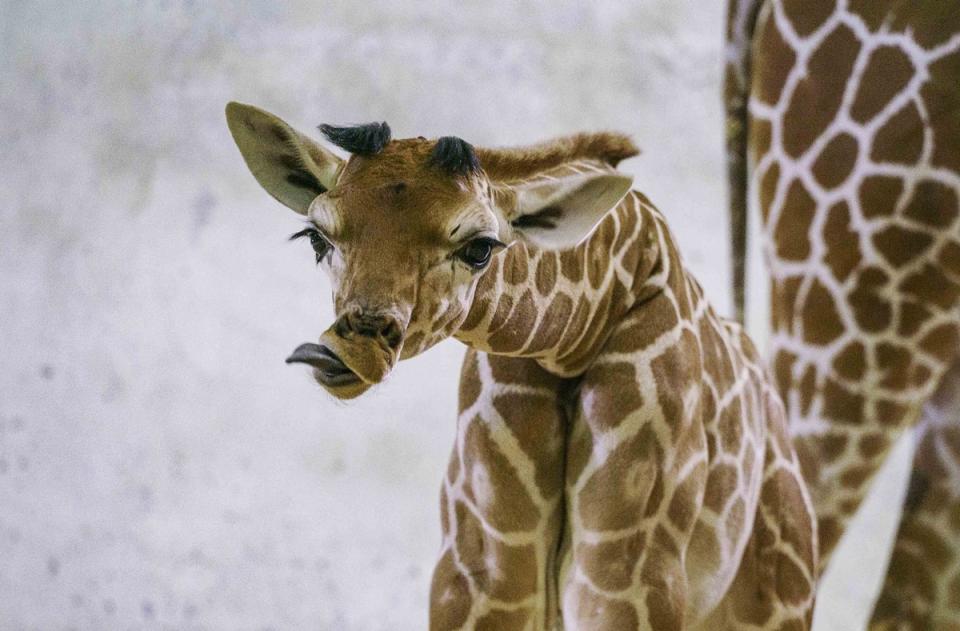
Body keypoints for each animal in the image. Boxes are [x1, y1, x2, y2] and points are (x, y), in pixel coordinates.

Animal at [227, 101, 816, 628]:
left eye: (479, 248)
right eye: (316, 236)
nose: (342, 351)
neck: (576, 338)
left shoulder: (628, 573)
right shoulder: (483, 568)